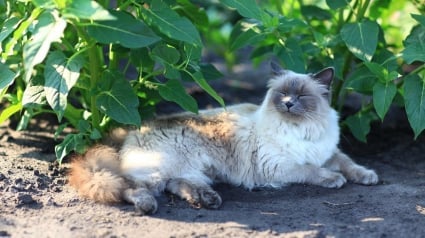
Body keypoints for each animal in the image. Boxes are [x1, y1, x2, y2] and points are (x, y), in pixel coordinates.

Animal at [68, 62, 378, 215]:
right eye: (282, 94)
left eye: (301, 96)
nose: (289, 104)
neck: (303, 129)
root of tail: (134, 128)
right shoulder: (277, 166)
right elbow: (312, 170)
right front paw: (333, 179)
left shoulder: (328, 152)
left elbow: (349, 163)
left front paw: (368, 176)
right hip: (159, 170)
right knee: (128, 186)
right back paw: (149, 205)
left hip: (195, 170)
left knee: (177, 185)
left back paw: (208, 200)